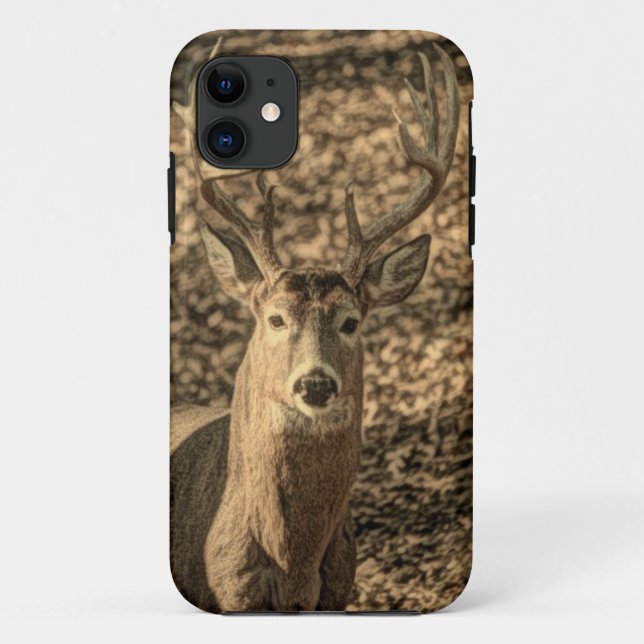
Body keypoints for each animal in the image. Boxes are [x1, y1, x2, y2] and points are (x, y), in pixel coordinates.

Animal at [170, 44, 460, 612]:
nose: (316, 383)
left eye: (350, 321)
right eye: (275, 317)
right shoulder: (230, 592)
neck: (294, 564)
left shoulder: (339, 586)